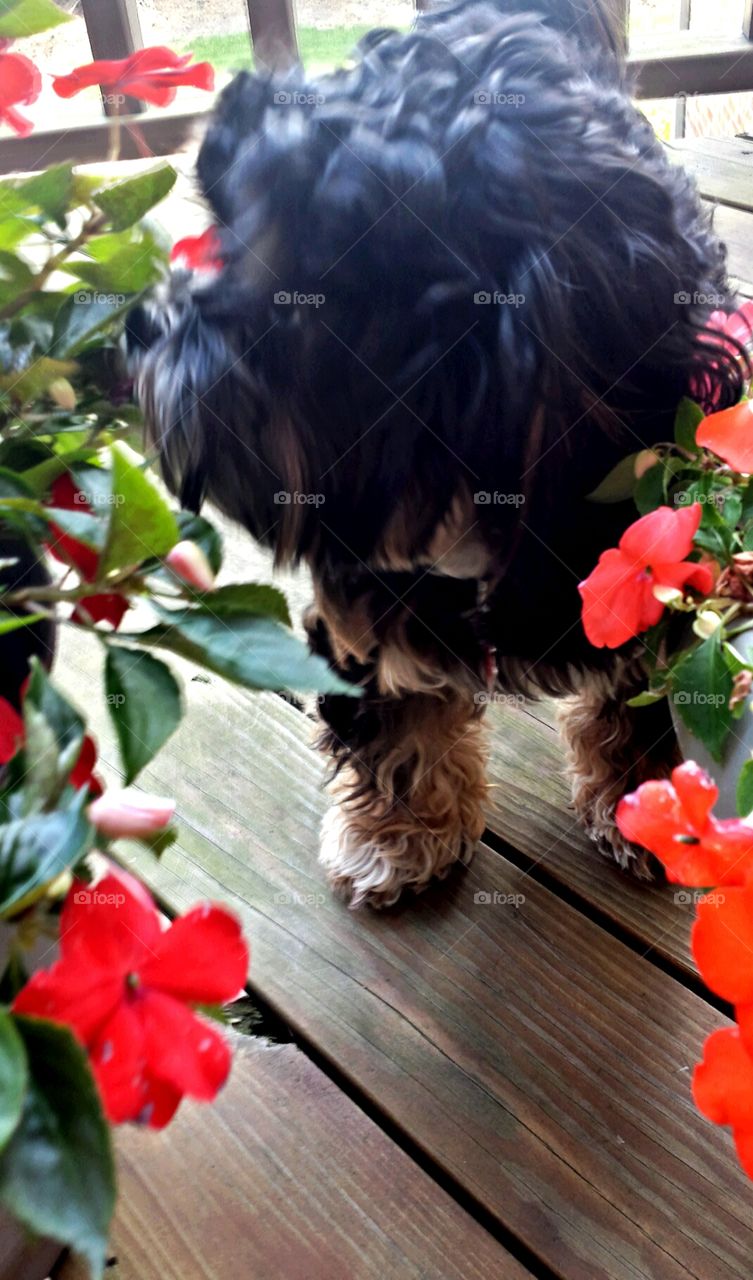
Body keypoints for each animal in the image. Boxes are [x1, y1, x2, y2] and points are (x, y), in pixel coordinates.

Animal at [130, 0, 747, 901]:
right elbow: (399, 708)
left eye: (303, 294)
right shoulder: (368, 564)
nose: (146, 326)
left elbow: (640, 695)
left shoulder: (654, 545)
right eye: (225, 236)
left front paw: (645, 803)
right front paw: (398, 831)